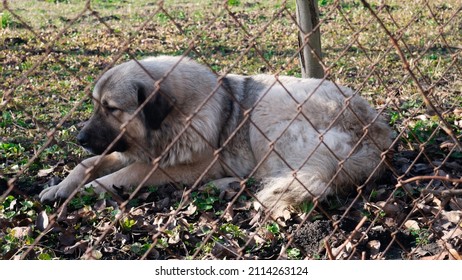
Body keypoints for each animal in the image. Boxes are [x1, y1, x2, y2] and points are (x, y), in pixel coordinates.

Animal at [40, 55, 394, 217]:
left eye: (111, 108)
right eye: (95, 106)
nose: (80, 138)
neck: (175, 119)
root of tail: (378, 139)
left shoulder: (181, 165)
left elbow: (121, 175)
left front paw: (85, 190)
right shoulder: (128, 149)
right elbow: (88, 164)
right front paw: (60, 187)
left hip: (268, 116)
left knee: (287, 178)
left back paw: (226, 184)